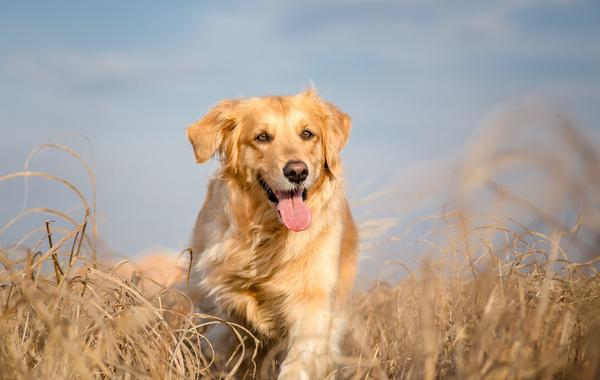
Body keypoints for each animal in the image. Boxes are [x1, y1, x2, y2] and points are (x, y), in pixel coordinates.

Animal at [186, 90, 356, 380]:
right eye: (262, 137)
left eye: (307, 134)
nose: (297, 171)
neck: (268, 235)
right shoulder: (222, 305)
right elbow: (222, 344)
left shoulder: (313, 303)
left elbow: (299, 362)